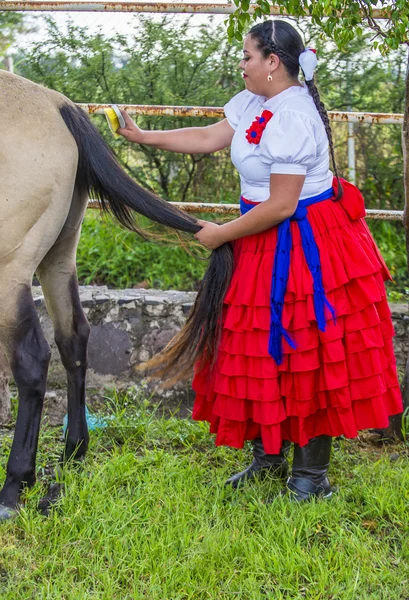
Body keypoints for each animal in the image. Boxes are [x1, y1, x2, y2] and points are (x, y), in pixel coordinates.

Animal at [0, 70, 201, 520]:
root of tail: (58, 105)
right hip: (58, 258)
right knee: (73, 337)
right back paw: (74, 451)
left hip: (11, 269)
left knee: (32, 360)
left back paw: (15, 486)